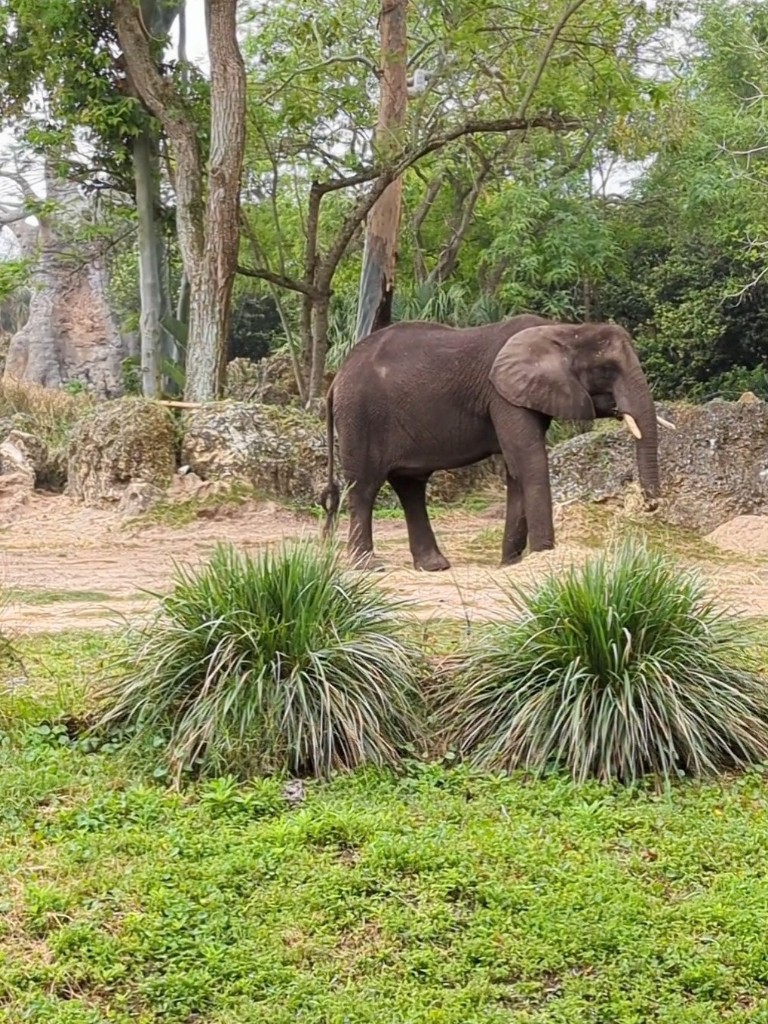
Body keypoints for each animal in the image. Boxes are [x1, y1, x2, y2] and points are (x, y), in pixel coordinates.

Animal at [319, 315, 671, 573]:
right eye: (607, 370)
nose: (649, 504)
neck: (565, 329)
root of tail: (336, 378)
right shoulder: (502, 396)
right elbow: (528, 461)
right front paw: (542, 557)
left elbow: (516, 469)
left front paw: (510, 564)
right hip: (360, 415)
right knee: (364, 487)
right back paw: (368, 567)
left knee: (410, 487)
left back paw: (434, 566)